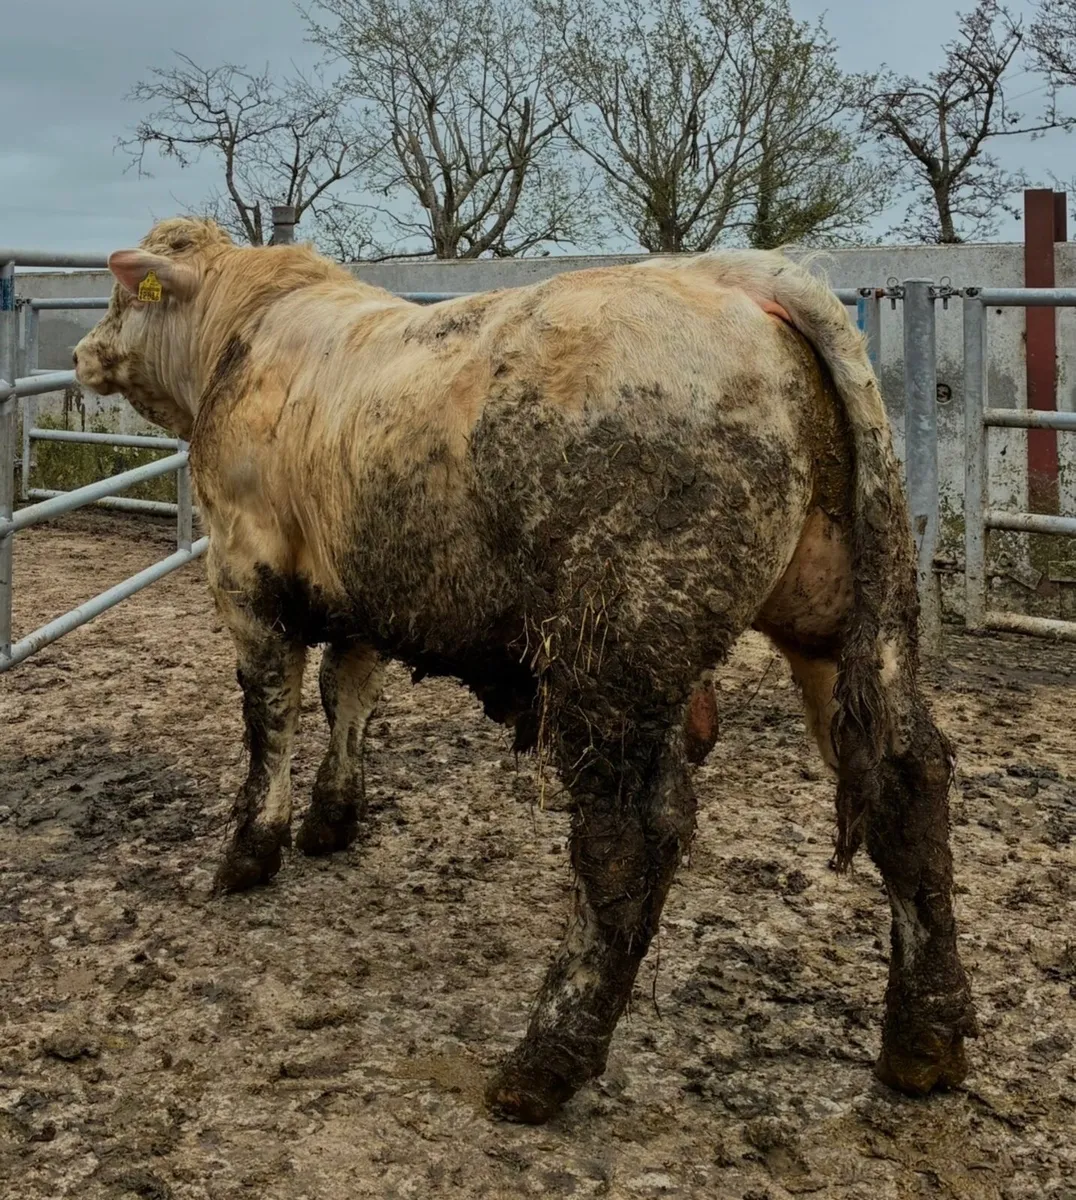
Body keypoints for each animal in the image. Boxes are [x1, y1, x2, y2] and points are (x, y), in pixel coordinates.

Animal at [74, 218, 977, 1124]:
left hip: (614, 656)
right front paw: (334, 817)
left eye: (122, 297)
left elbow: (271, 718)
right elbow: (347, 694)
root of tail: (737, 276)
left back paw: (548, 1056)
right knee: (906, 783)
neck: (242, 332)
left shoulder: (246, 572)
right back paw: (924, 1039)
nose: (83, 351)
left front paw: (248, 853)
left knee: (631, 835)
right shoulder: (362, 588)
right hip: (844, 619)